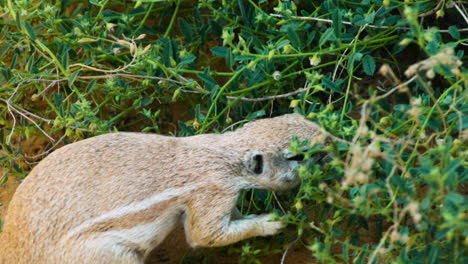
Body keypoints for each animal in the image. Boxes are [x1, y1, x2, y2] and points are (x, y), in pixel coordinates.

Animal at [0, 113, 322, 264]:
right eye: (297, 155)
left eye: (296, 117)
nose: (330, 137)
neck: (221, 153)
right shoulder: (213, 194)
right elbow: (205, 235)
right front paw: (272, 222)